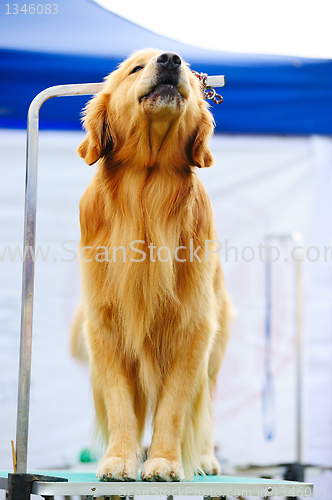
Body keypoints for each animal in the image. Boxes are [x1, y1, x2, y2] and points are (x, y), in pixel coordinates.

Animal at [70, 48, 231, 482]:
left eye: (188, 71)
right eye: (135, 68)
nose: (171, 59)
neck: (147, 189)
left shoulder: (193, 328)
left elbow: (174, 405)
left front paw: (163, 462)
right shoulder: (105, 326)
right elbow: (120, 402)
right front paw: (120, 458)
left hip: (215, 346)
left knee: (207, 405)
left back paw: (205, 458)